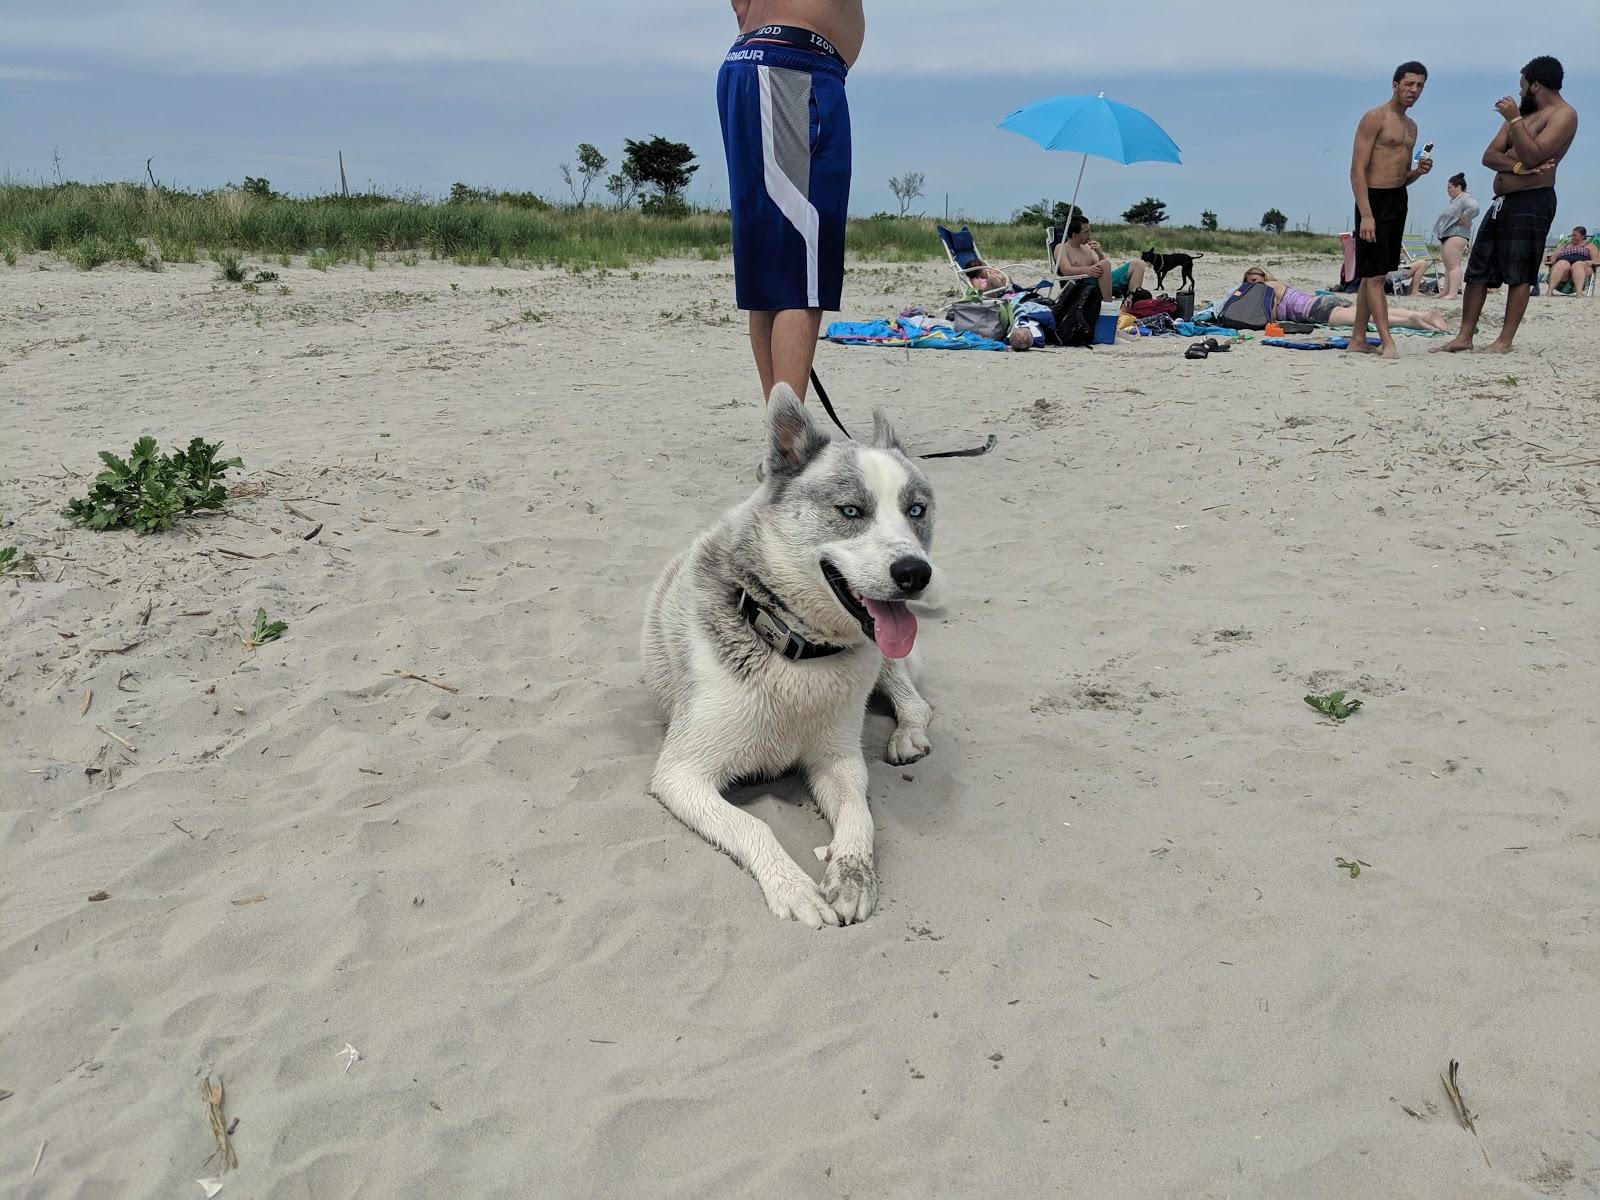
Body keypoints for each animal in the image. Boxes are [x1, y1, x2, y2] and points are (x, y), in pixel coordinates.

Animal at [636, 385, 934, 928]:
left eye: (917, 511)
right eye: (851, 511)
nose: (915, 573)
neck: (798, 651)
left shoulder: (839, 759)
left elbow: (859, 813)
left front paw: (852, 874)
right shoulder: (682, 776)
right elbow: (754, 826)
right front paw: (793, 887)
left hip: (885, 665)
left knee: (915, 700)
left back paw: (908, 734)